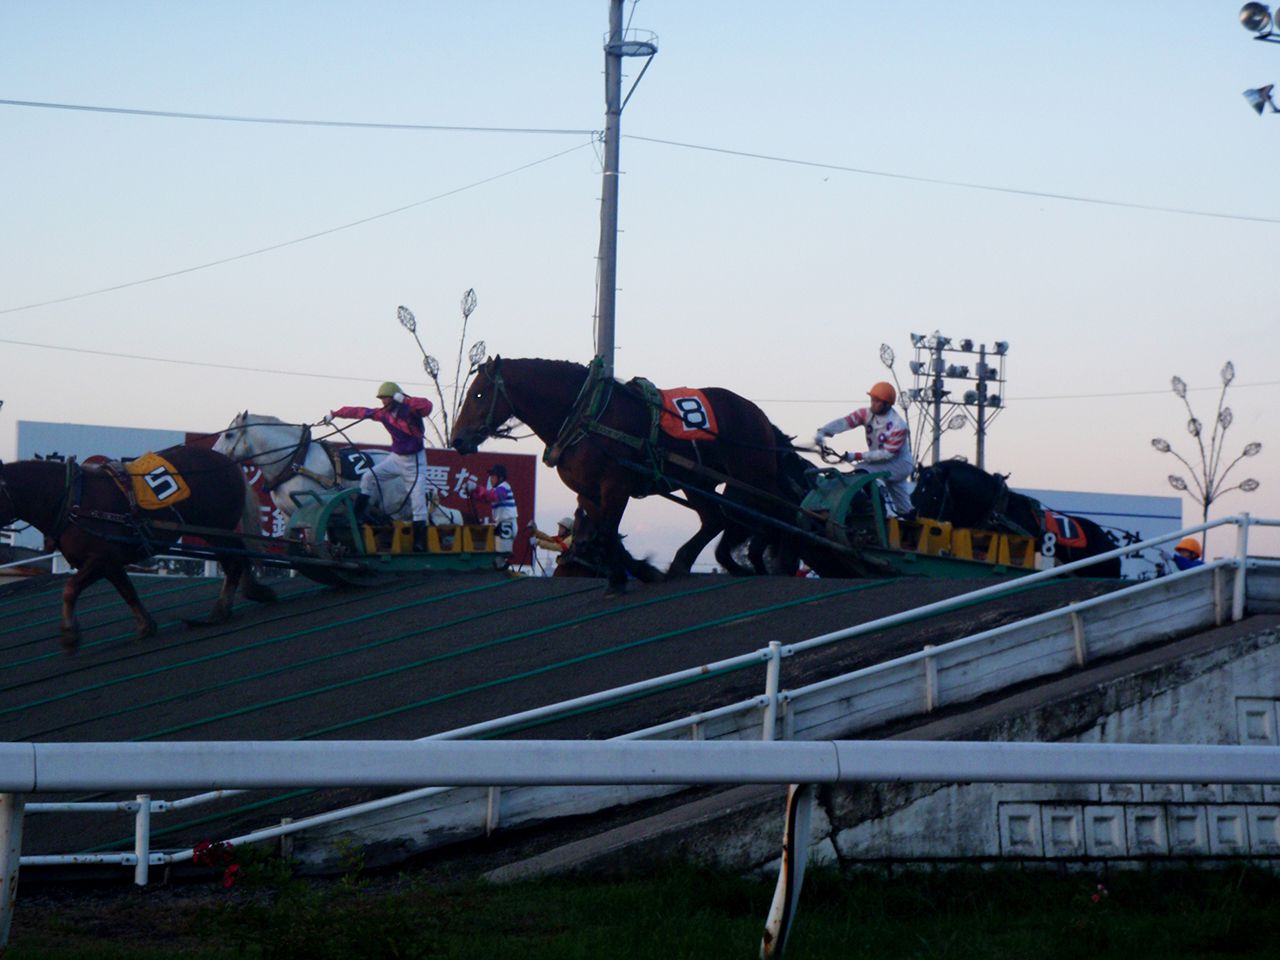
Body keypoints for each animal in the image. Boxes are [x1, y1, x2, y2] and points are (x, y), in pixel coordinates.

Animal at [0, 448, 277, 660]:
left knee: (234, 561)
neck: (71, 501)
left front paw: (70, 635)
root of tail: (230, 463)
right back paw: (252, 592)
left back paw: (221, 609)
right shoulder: (110, 563)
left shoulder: (100, 558)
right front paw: (145, 625)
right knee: (238, 557)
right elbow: (127, 592)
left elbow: (70, 589)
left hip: (217, 528)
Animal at [448, 358, 788, 591]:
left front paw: (622, 577)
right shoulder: (587, 491)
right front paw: (635, 570)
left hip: (752, 477)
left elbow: (609, 531)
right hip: (697, 481)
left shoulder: (615, 485)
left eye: (478, 395)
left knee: (765, 514)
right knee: (716, 518)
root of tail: (758, 414)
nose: (458, 439)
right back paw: (689, 560)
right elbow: (603, 532)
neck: (585, 415)